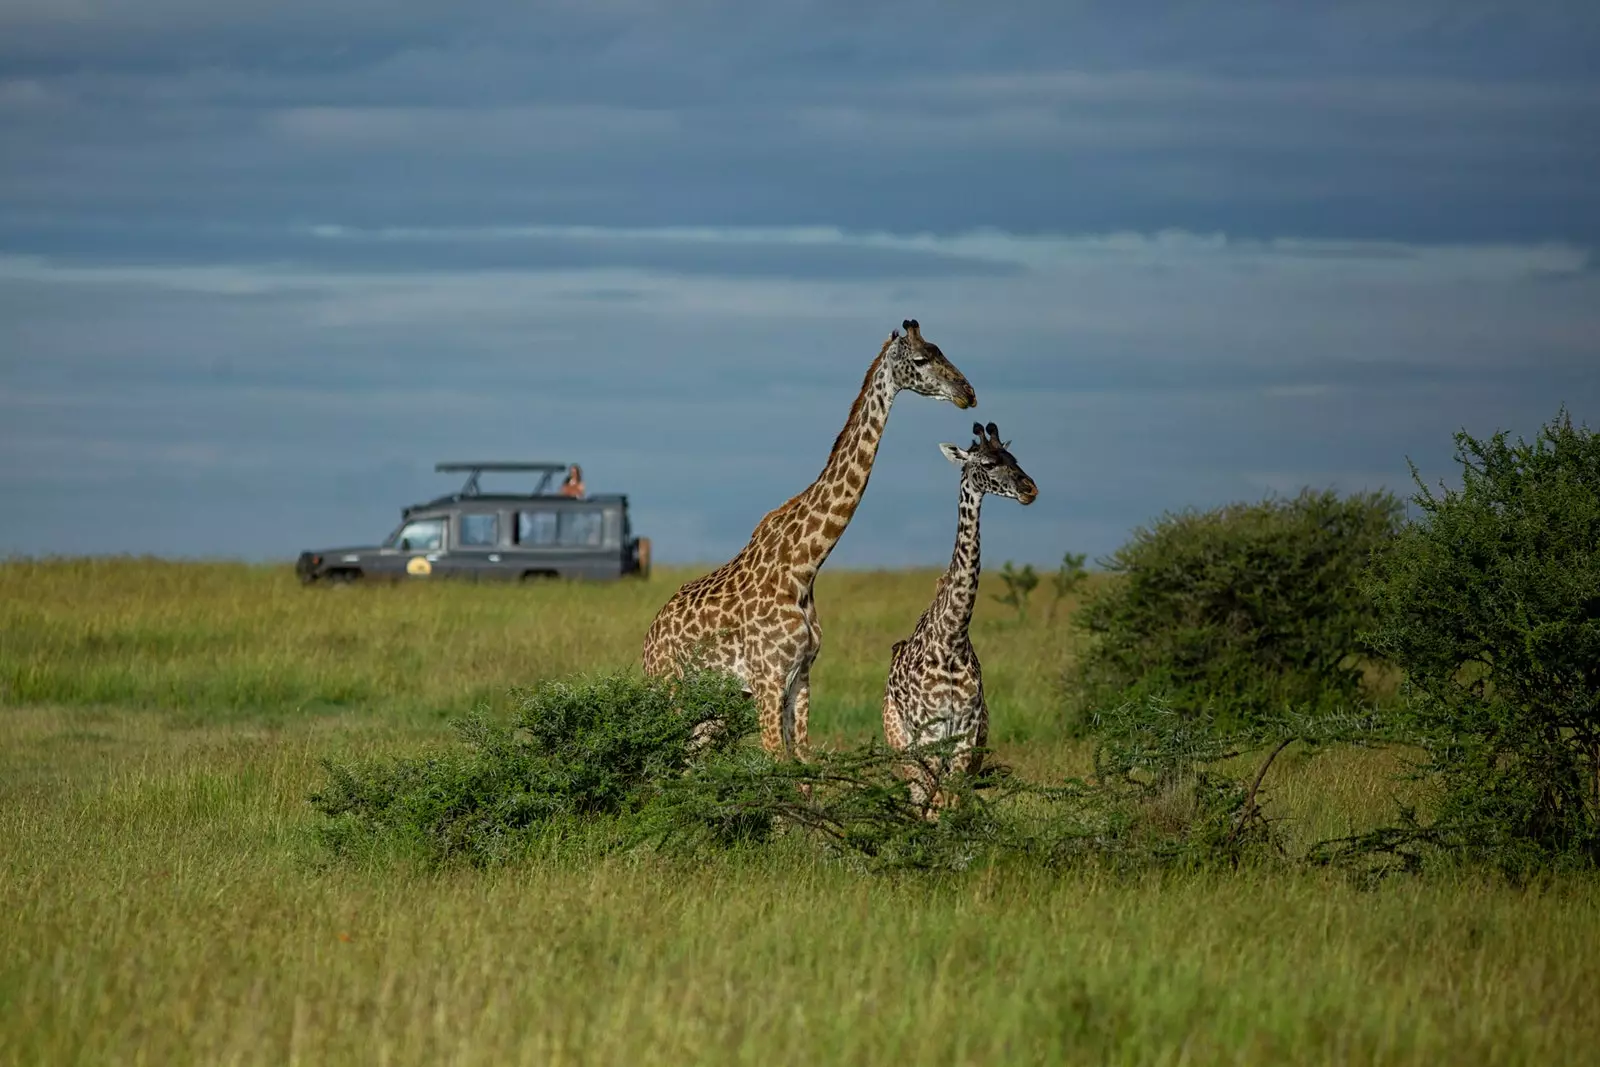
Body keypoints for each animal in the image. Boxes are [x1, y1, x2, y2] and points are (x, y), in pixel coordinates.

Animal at [640, 316, 972, 758]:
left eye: (942, 350)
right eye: (921, 359)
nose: (967, 393)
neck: (804, 564)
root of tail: (648, 639)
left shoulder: (801, 677)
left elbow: (801, 759)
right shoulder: (766, 679)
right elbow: (774, 758)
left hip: (713, 706)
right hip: (670, 688)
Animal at [889, 422, 1036, 812]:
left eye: (1015, 458)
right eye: (987, 463)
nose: (1030, 489)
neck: (951, 640)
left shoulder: (966, 736)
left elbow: (952, 800)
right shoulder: (930, 733)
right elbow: (935, 802)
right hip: (899, 742)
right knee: (918, 797)